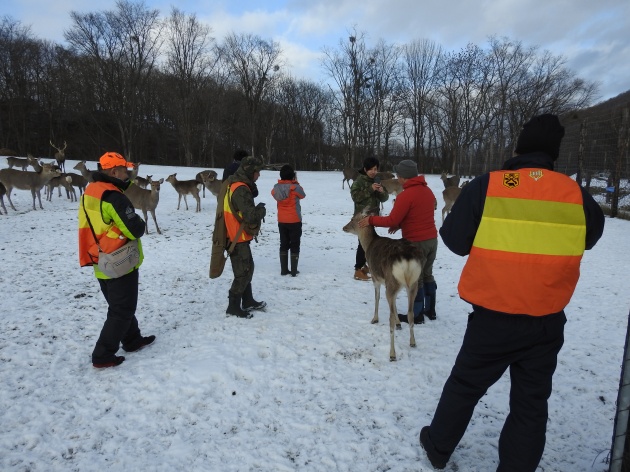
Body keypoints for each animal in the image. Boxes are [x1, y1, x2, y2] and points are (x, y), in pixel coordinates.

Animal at [344, 207, 428, 362]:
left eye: (353, 218)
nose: (344, 227)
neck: (368, 244)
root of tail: (407, 259)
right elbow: (394, 305)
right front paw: (399, 323)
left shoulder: (376, 278)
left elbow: (376, 298)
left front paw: (374, 319)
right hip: (412, 283)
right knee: (410, 313)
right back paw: (412, 342)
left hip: (392, 282)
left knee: (390, 318)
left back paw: (392, 354)